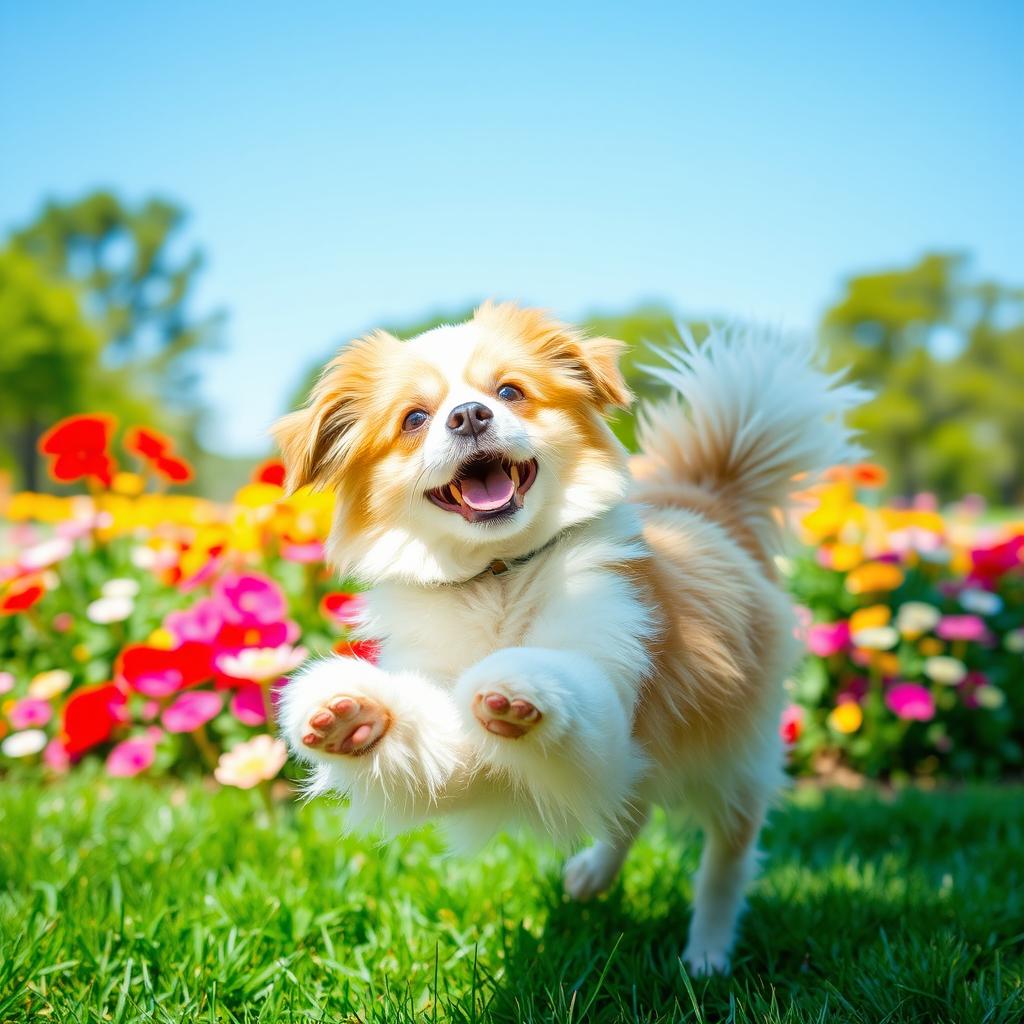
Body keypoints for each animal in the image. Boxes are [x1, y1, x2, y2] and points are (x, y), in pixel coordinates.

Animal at [272, 299, 864, 970]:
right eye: (414, 419)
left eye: (509, 392)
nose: (470, 414)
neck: (497, 577)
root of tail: (710, 500)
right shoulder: (465, 749)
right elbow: (437, 751)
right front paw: (353, 716)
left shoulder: (613, 694)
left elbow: (573, 690)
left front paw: (520, 686)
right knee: (628, 805)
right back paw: (593, 876)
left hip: (736, 755)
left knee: (725, 853)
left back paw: (707, 953)